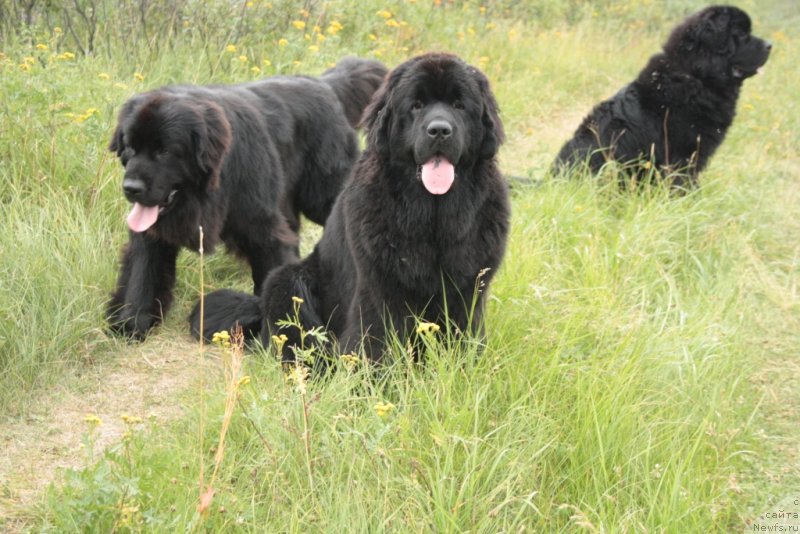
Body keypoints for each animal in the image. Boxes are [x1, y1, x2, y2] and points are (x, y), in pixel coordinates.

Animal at [106, 56, 388, 340]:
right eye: (130, 147)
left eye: (164, 151)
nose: (130, 188)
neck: (208, 191)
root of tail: (324, 83)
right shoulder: (150, 233)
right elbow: (143, 272)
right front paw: (132, 323)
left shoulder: (263, 229)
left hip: (323, 192)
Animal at [191, 53, 510, 364]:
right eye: (416, 105)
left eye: (459, 105)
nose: (440, 130)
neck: (433, 215)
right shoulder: (379, 288)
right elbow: (378, 338)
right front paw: (378, 376)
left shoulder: (467, 291)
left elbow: (463, 334)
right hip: (288, 282)